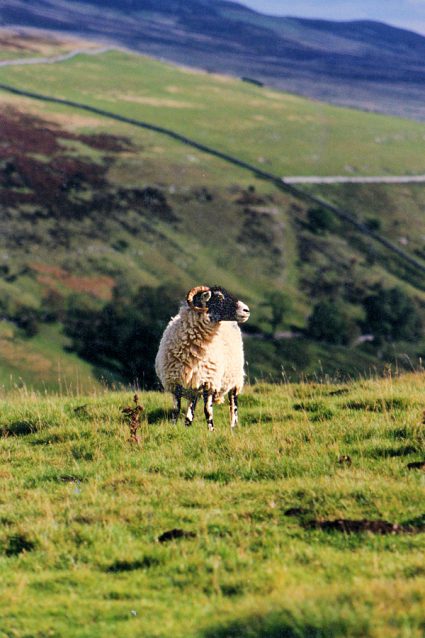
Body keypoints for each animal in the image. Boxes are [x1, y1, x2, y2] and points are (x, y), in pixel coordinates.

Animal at [155, 286, 248, 432]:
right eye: (219, 297)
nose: (246, 310)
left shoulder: (209, 383)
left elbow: (208, 411)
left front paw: (211, 431)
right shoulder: (175, 383)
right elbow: (176, 410)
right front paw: (174, 428)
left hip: (235, 378)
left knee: (233, 405)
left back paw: (233, 427)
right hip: (194, 385)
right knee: (190, 410)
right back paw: (187, 425)